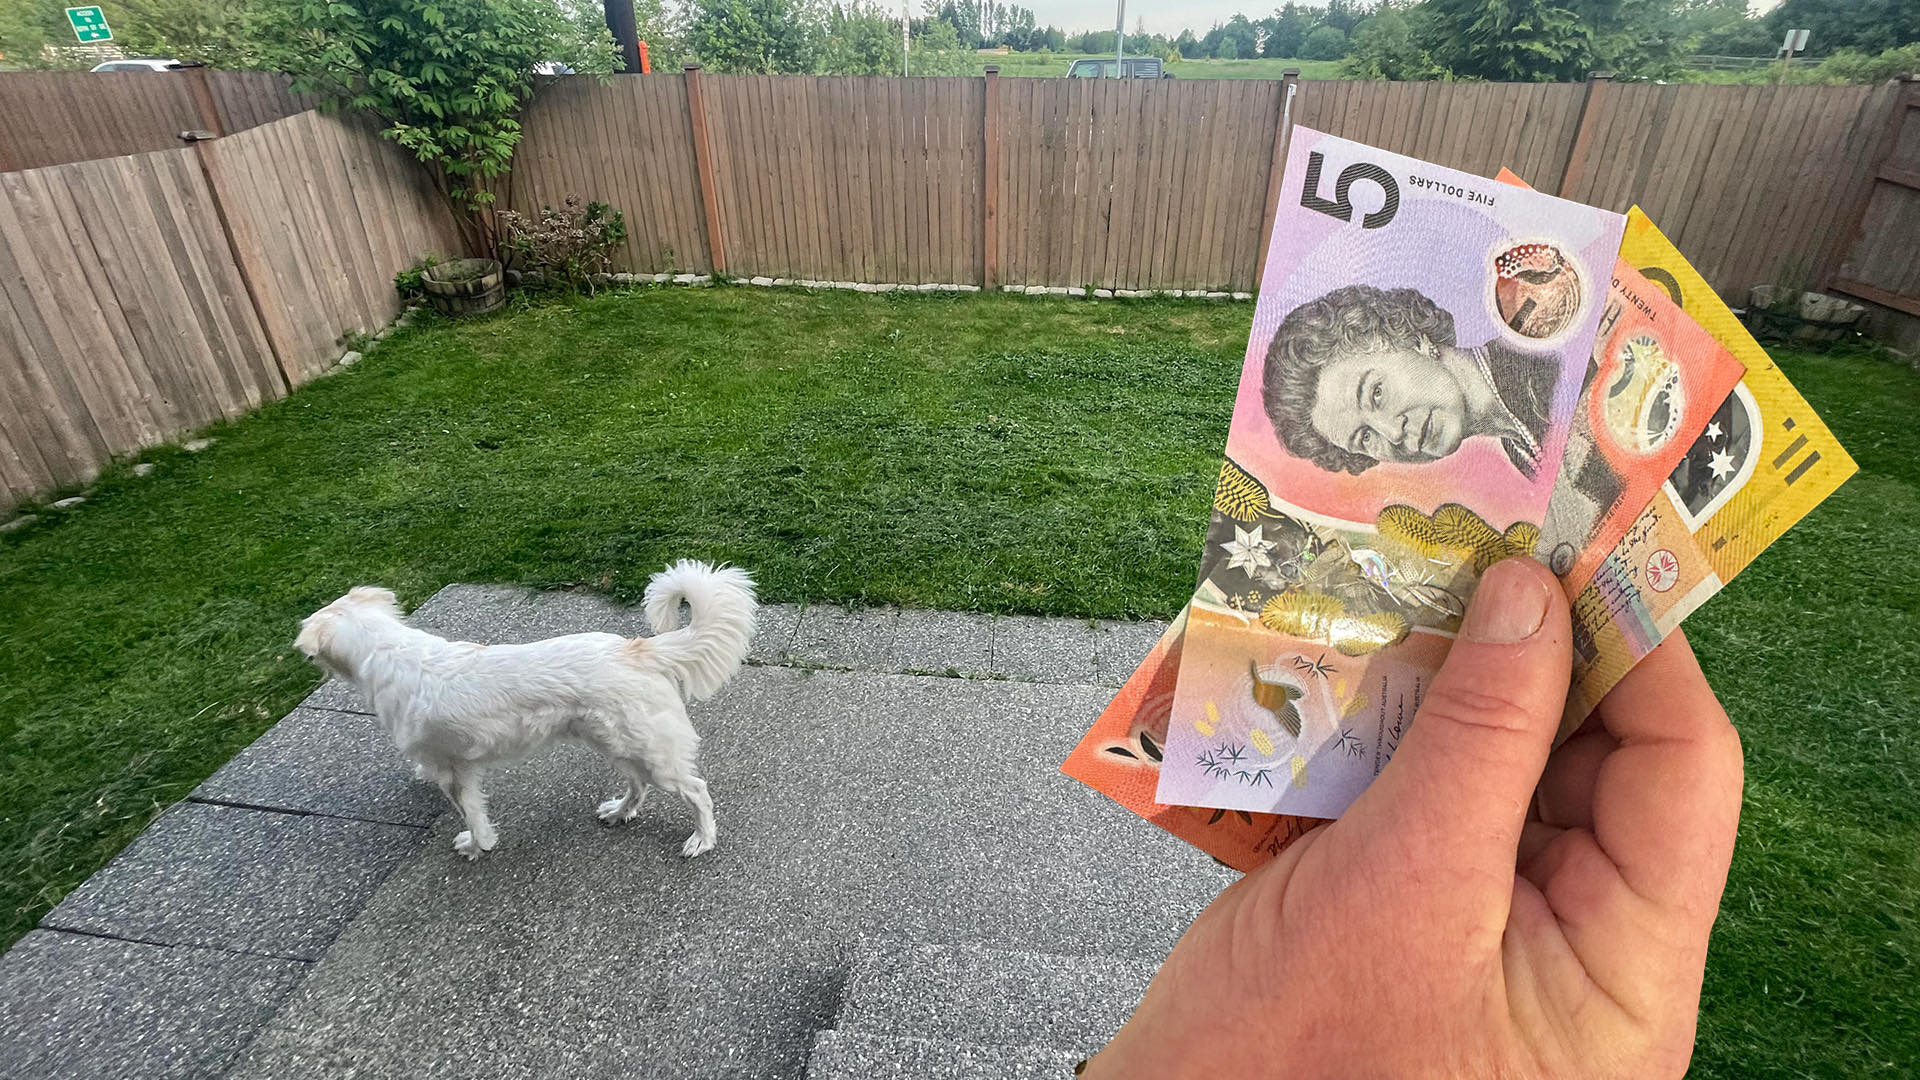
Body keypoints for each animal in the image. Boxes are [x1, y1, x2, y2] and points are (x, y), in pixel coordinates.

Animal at [291, 564, 756, 857]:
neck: (388, 650)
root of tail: (637, 649)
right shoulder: (460, 766)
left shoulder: (454, 773)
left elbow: (472, 815)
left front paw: (476, 846)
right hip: (618, 744)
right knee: (638, 786)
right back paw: (619, 813)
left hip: (652, 752)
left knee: (698, 791)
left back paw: (702, 840)